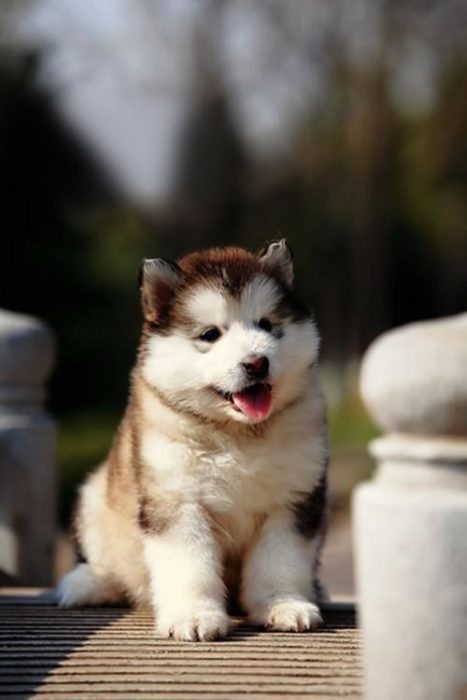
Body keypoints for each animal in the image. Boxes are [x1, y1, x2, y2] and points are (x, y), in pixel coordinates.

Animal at [57, 239, 330, 640]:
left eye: (266, 324)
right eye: (210, 334)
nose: (257, 362)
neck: (237, 433)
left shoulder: (292, 500)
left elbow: (280, 560)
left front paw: (283, 605)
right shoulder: (177, 501)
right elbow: (189, 564)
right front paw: (194, 615)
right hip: (96, 499)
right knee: (109, 564)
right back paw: (87, 585)